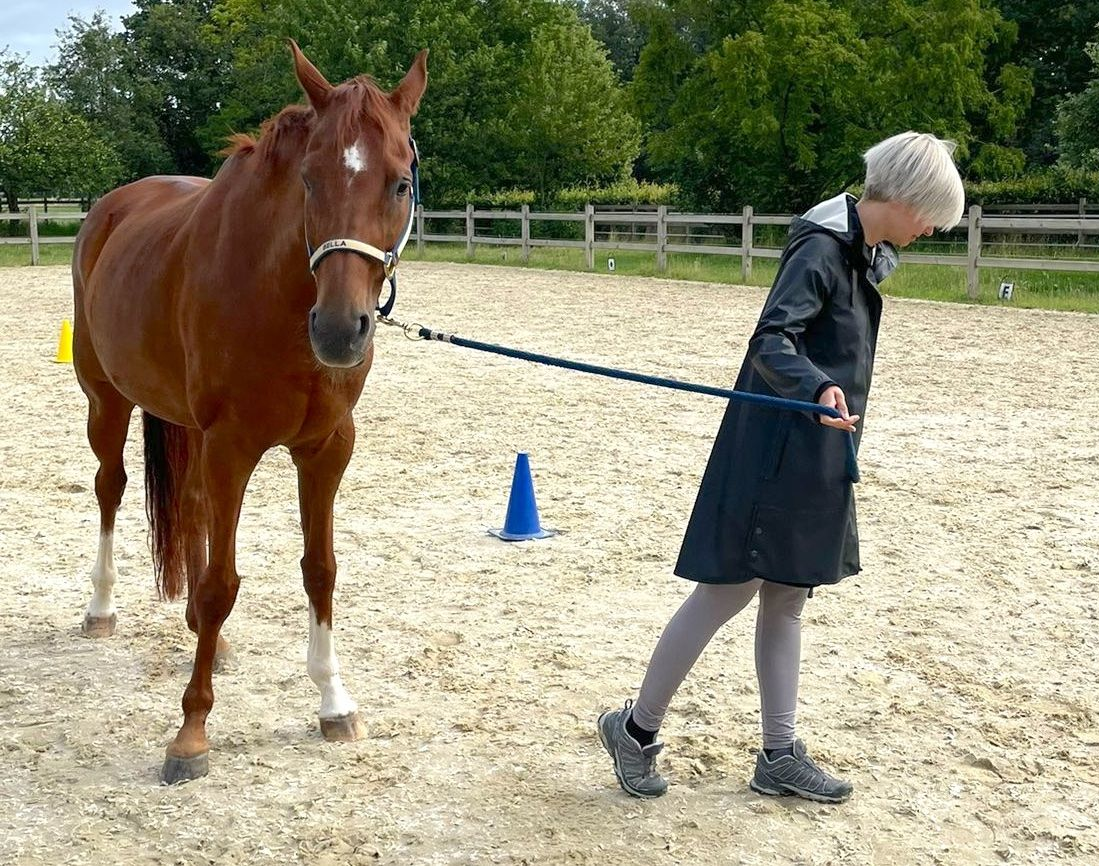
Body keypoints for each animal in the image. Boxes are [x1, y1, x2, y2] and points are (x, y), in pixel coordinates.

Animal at [71, 42, 427, 784]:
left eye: (399, 184)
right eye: (310, 182)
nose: (340, 330)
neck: (277, 295)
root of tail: (109, 211)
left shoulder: (326, 448)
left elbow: (319, 569)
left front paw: (333, 701)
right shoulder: (232, 446)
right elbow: (219, 586)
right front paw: (191, 733)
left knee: (191, 508)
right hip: (107, 401)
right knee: (110, 489)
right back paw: (101, 607)